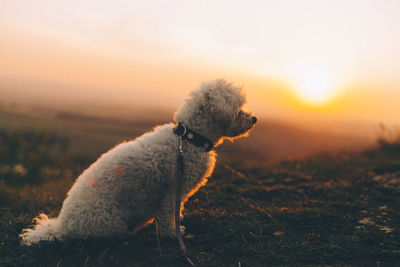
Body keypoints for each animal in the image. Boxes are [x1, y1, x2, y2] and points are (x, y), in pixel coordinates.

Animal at [20, 78, 256, 246]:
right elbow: (170, 214)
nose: (254, 119)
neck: (189, 138)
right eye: (238, 110)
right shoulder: (173, 189)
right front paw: (173, 234)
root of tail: (62, 225)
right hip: (110, 221)